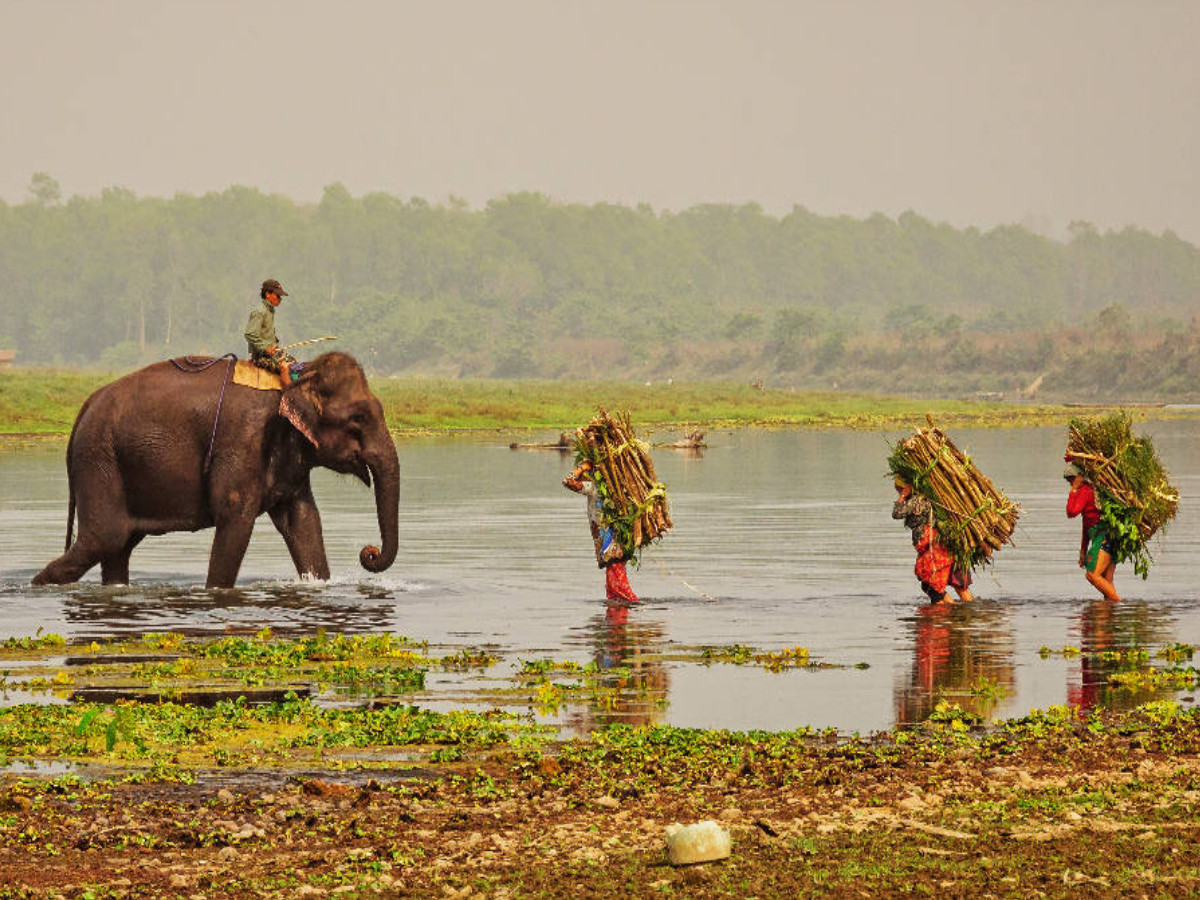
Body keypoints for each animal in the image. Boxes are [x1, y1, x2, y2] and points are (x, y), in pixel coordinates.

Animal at [30, 352, 398, 592]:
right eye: (358, 419)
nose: (369, 553)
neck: (294, 378)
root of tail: (85, 406)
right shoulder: (243, 442)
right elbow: (235, 518)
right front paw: (217, 593)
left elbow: (303, 522)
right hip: (98, 459)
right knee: (103, 538)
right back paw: (38, 586)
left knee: (117, 546)